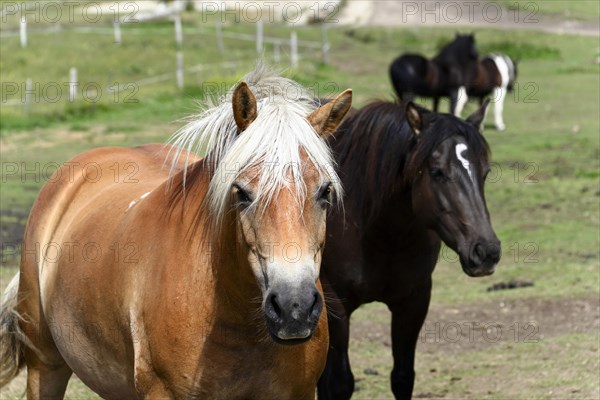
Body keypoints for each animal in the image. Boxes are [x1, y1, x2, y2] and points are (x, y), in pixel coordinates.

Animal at [318, 100, 502, 400]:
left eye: (485, 173)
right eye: (437, 172)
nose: (486, 252)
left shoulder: (414, 301)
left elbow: (403, 377)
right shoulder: (334, 306)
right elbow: (338, 383)